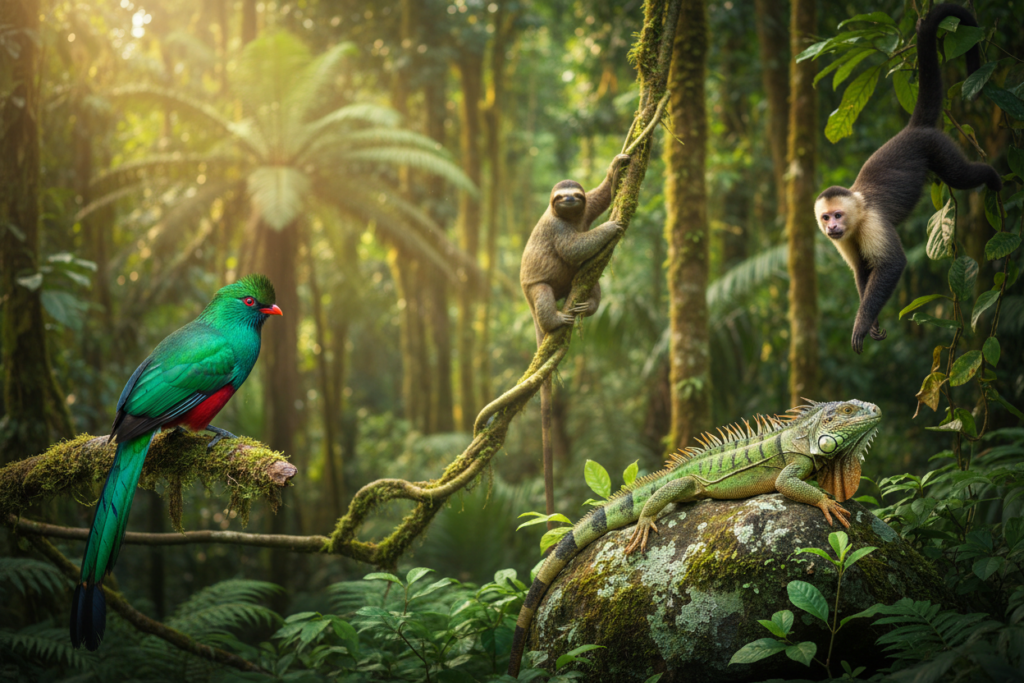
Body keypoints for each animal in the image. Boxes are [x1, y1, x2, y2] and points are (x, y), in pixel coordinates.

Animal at [520, 152, 630, 521]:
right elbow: (573, 247)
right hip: (533, 290)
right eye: (560, 197)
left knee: (590, 281)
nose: (568, 200)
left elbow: (601, 197)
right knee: (542, 292)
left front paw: (617, 166)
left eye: (575, 195)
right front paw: (610, 227)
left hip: (574, 285)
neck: (567, 216)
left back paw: (588, 305)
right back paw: (555, 318)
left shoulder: (584, 211)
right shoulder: (558, 227)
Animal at [815, 3, 1002, 354]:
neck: (856, 219)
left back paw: (993, 177)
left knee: (961, 175)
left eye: (838, 215)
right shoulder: (844, 241)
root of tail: (913, 129)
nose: (831, 227)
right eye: (825, 217)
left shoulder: (873, 221)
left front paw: (861, 324)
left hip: (937, 146)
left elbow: (891, 266)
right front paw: (873, 324)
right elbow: (863, 272)